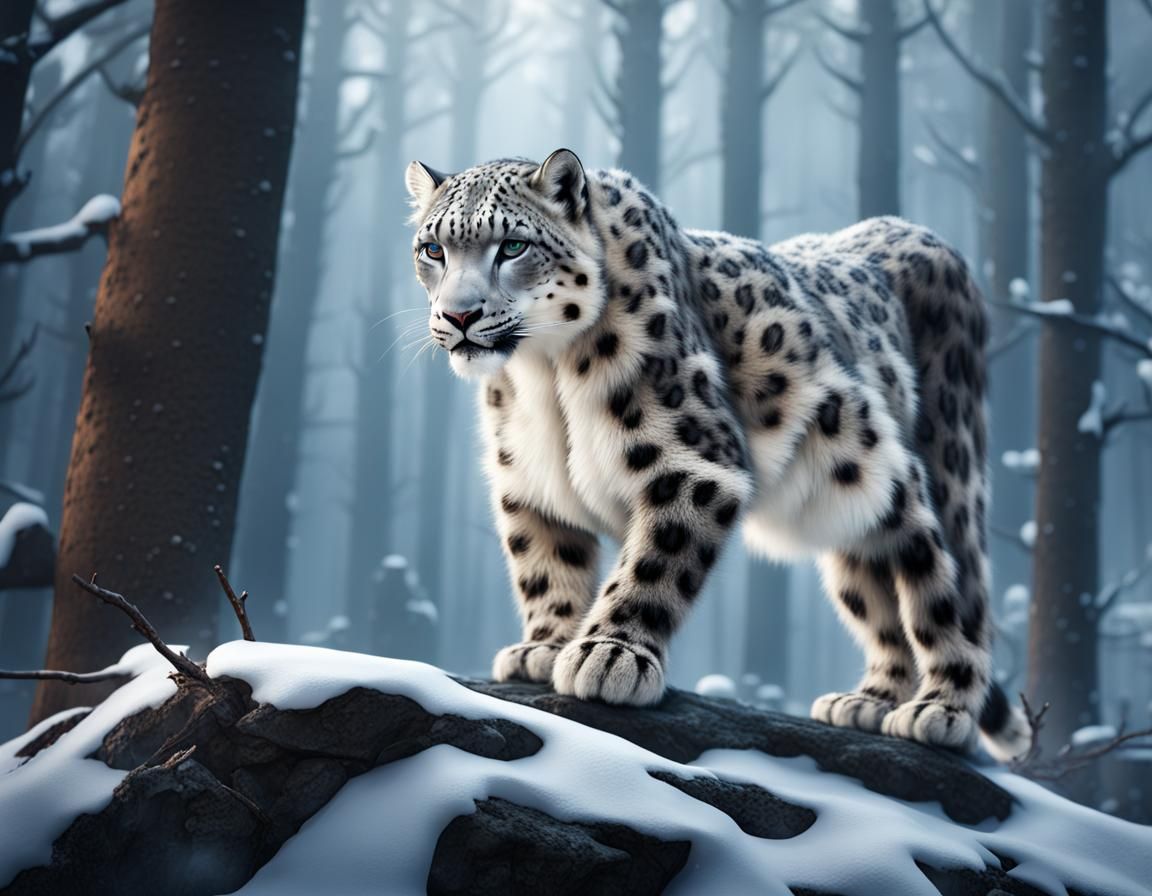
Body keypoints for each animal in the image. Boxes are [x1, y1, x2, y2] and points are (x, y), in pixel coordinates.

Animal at [404, 148, 1030, 760]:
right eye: (433, 249)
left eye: (513, 246)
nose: (459, 315)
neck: (541, 376)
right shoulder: (531, 484)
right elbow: (546, 567)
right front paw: (544, 646)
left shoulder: (691, 462)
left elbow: (652, 564)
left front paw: (609, 655)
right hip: (853, 516)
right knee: (877, 598)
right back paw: (867, 700)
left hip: (938, 473)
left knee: (947, 594)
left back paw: (941, 709)